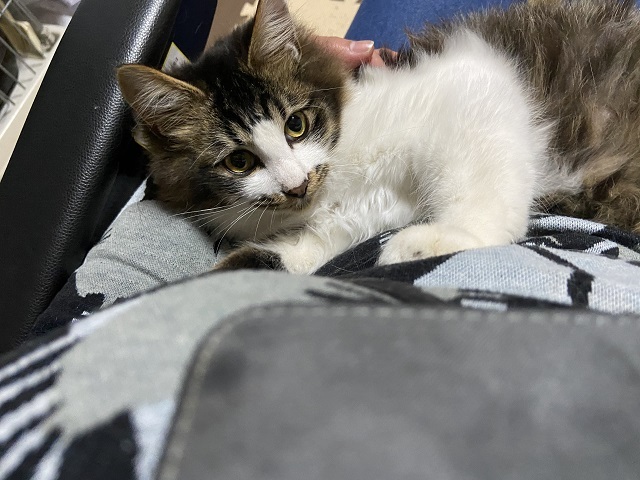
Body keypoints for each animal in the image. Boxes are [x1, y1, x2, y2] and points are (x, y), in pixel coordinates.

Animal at [117, 0, 640, 274]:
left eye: (296, 125)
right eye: (239, 161)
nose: (295, 186)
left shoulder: (480, 84)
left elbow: (481, 196)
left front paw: (443, 239)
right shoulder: (340, 227)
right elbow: (271, 259)